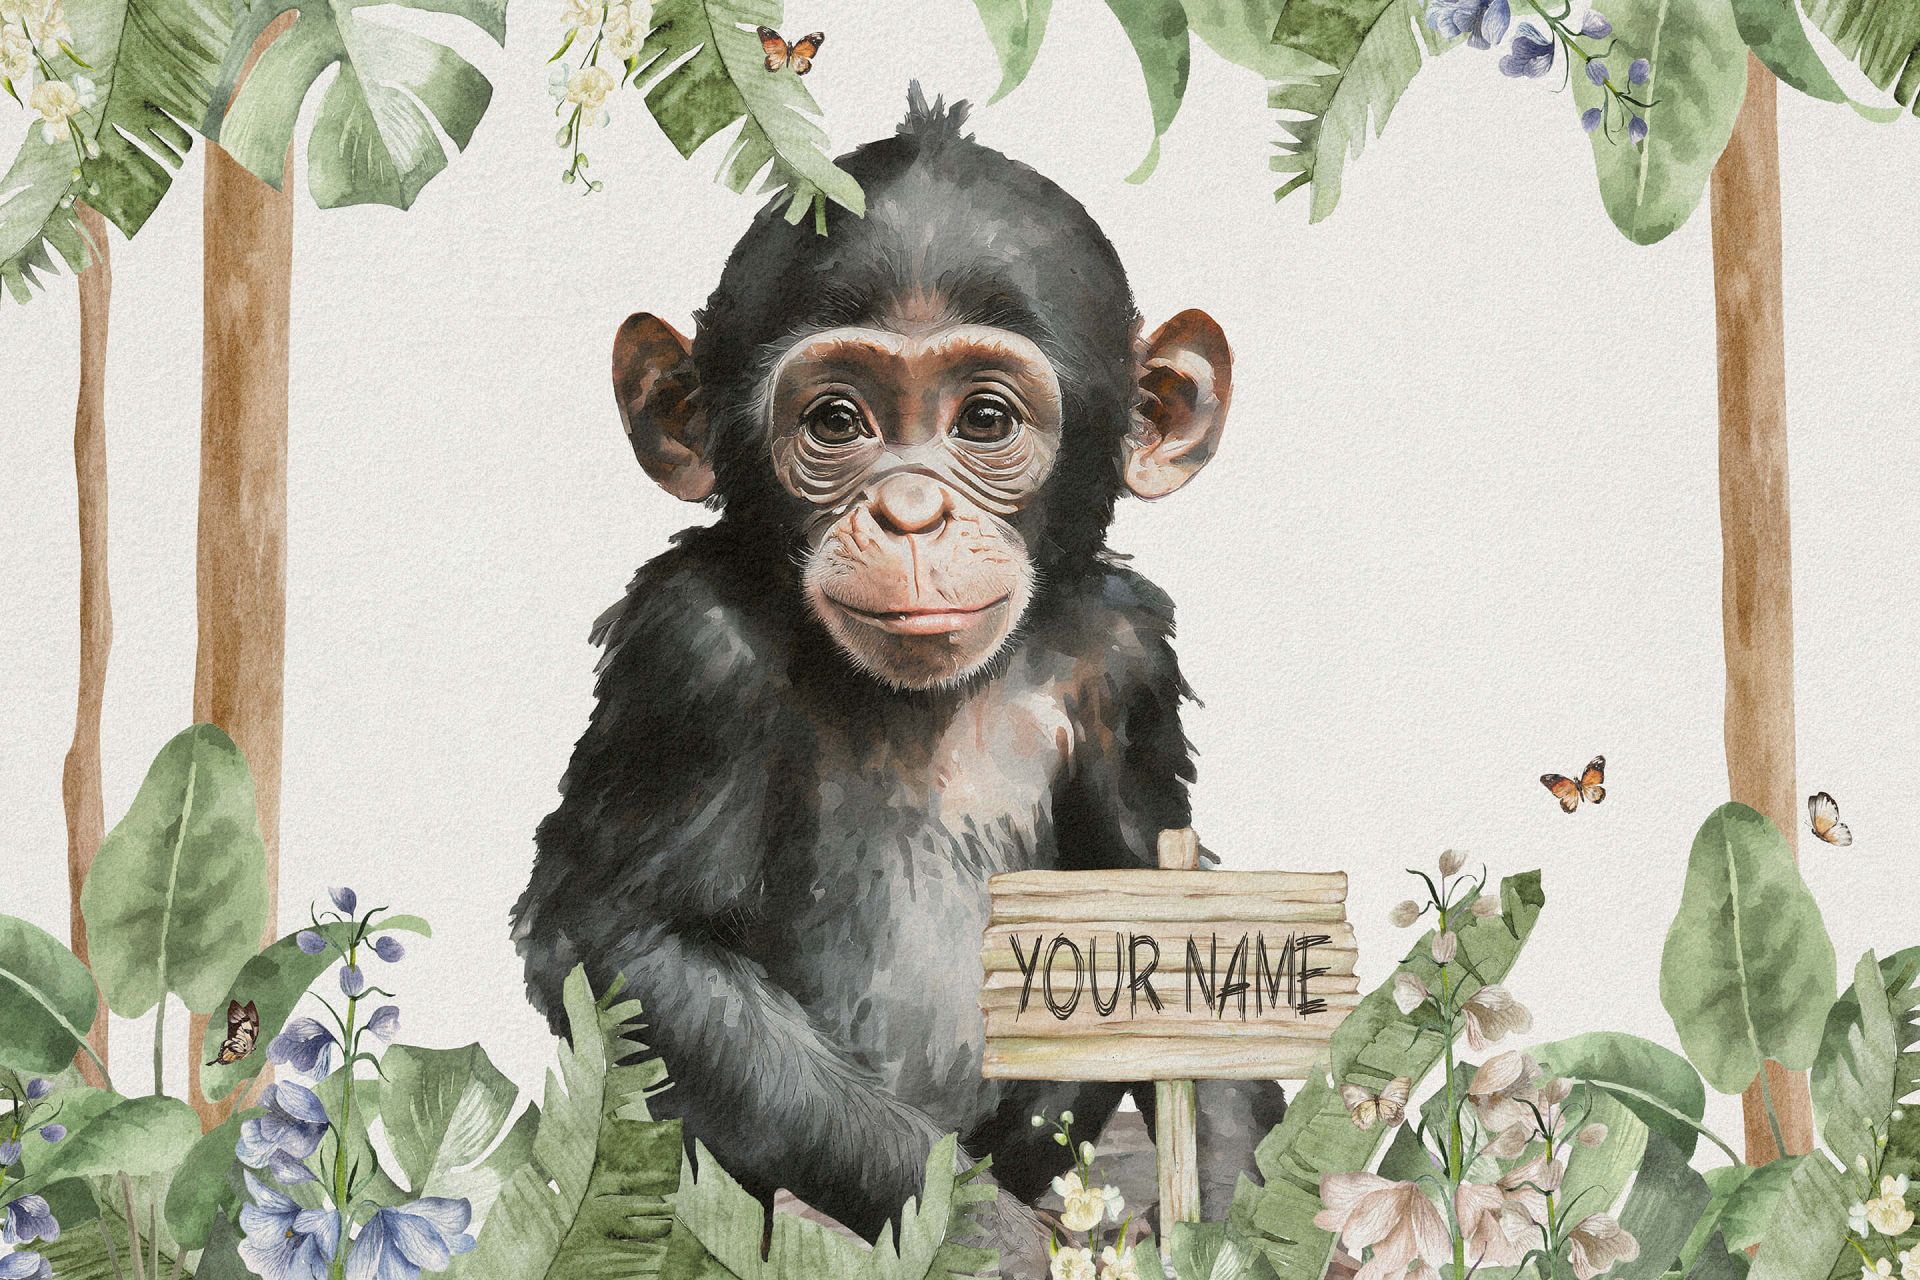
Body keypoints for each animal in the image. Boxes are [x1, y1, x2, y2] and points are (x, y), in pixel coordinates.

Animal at [511, 86, 1284, 1276]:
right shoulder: (688, 653)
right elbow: (626, 940)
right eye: (837, 421)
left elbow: (1176, 918)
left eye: (985, 421)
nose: (911, 510)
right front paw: (983, 1235)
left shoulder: (1129, 661)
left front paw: (1233, 1227)